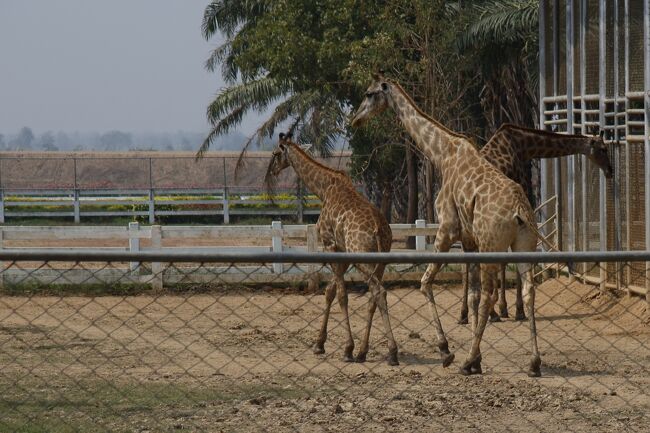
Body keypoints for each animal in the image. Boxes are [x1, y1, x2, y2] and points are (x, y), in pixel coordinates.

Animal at [264, 132, 400, 364]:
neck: (324, 188)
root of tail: (378, 229)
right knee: (373, 296)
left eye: (275, 153)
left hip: (362, 256)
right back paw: (364, 352)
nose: (271, 172)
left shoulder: (330, 244)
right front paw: (320, 344)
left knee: (378, 291)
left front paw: (347, 349)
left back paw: (391, 352)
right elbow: (329, 291)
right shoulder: (342, 251)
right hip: (381, 259)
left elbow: (341, 295)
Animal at [352, 72, 540, 376]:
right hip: (523, 244)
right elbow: (472, 294)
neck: (442, 154)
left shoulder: (446, 230)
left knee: (490, 294)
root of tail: (520, 209)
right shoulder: (469, 240)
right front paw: (478, 360)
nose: (355, 119)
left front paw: (448, 351)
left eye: (369, 94)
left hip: (493, 245)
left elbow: (426, 283)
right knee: (528, 289)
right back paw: (534, 363)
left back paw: (465, 361)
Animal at [456, 123, 612, 322]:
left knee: (466, 263)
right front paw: (516, 310)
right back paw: (488, 313)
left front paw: (503, 308)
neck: (523, 146)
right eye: (603, 149)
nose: (610, 171)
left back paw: (465, 314)